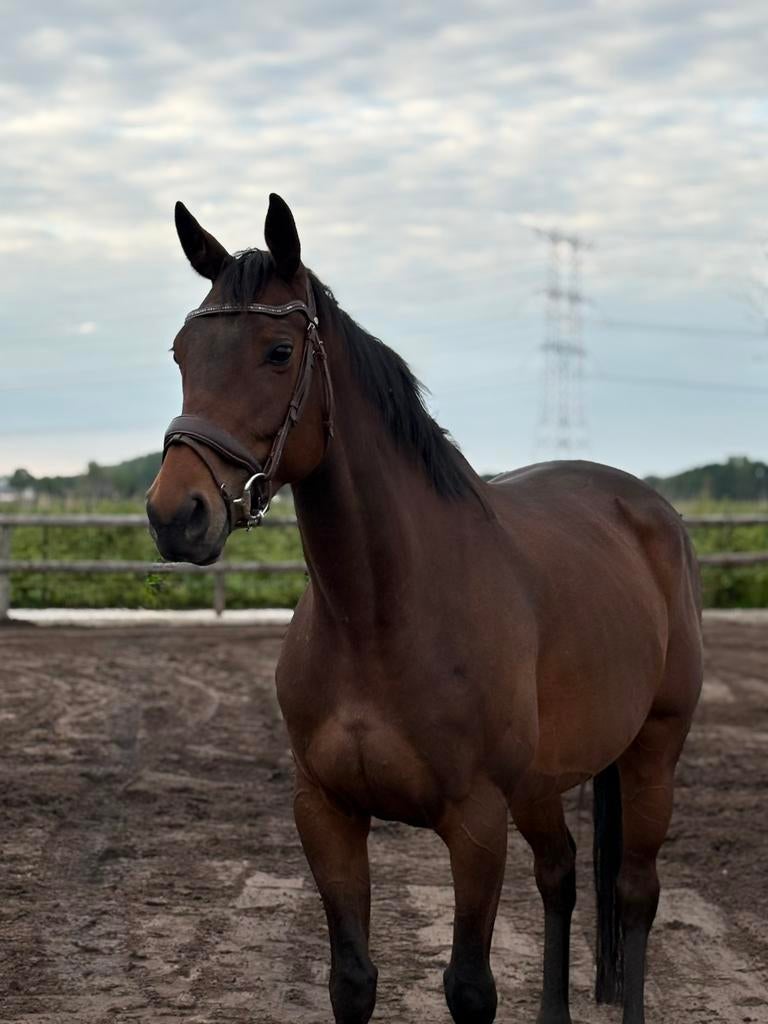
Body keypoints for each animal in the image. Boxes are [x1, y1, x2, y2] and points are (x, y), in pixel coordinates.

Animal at [146, 194, 703, 1024]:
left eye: (278, 351)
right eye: (183, 353)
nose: (174, 515)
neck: (379, 612)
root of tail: (646, 508)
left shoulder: (474, 823)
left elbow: (469, 987)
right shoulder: (327, 814)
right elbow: (352, 979)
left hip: (653, 752)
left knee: (635, 895)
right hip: (544, 785)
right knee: (562, 877)